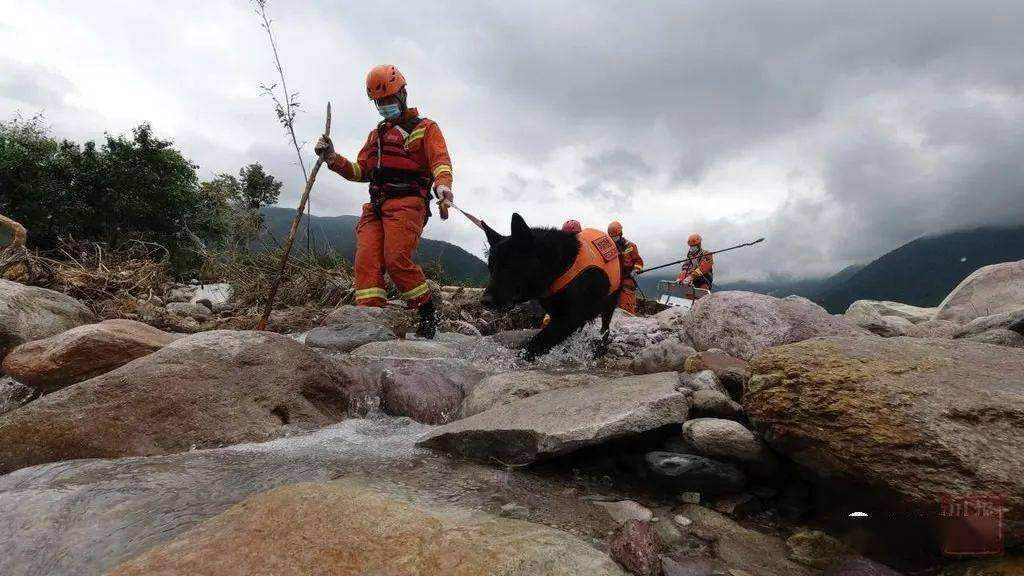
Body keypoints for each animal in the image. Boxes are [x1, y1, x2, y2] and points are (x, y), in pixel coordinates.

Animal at [481, 212, 618, 358]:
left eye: (507, 266)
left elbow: (538, 342)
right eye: (490, 268)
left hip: (609, 304)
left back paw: (600, 348)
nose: (485, 301)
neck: (558, 266)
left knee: (605, 328)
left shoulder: (570, 317)